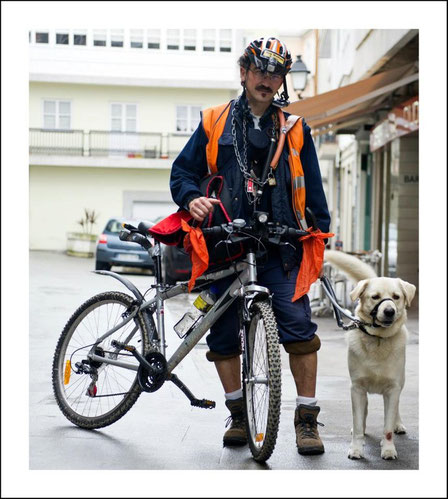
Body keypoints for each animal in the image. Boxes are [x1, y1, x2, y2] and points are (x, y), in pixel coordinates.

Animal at [326, 250, 416, 460]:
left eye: (396, 297)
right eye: (375, 297)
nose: (389, 311)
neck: (378, 339)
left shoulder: (392, 389)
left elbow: (387, 427)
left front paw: (388, 449)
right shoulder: (357, 388)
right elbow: (358, 422)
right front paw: (356, 448)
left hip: (400, 383)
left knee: (396, 410)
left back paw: (398, 424)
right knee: (364, 413)